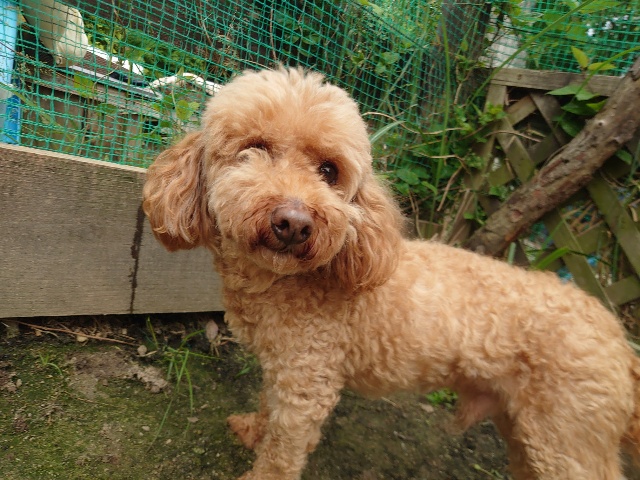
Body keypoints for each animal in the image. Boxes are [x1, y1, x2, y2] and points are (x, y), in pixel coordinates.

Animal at [143, 67, 640, 479]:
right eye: (254, 148)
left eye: (329, 171)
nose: (295, 222)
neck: (283, 282)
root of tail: (619, 339)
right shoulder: (283, 367)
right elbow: (267, 407)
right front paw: (253, 429)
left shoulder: (307, 380)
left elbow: (283, 451)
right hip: (526, 430)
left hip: (568, 438)